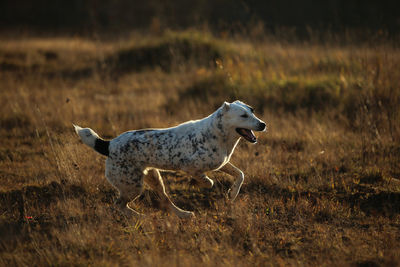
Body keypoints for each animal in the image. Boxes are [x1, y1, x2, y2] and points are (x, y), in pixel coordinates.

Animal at [74, 101, 268, 219]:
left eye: (252, 111)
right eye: (243, 116)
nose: (263, 124)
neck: (218, 133)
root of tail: (108, 144)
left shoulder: (222, 163)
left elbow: (240, 174)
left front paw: (232, 193)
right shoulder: (189, 167)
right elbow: (207, 181)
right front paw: (206, 184)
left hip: (154, 178)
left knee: (165, 200)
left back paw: (183, 214)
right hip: (133, 186)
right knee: (118, 205)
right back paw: (140, 217)